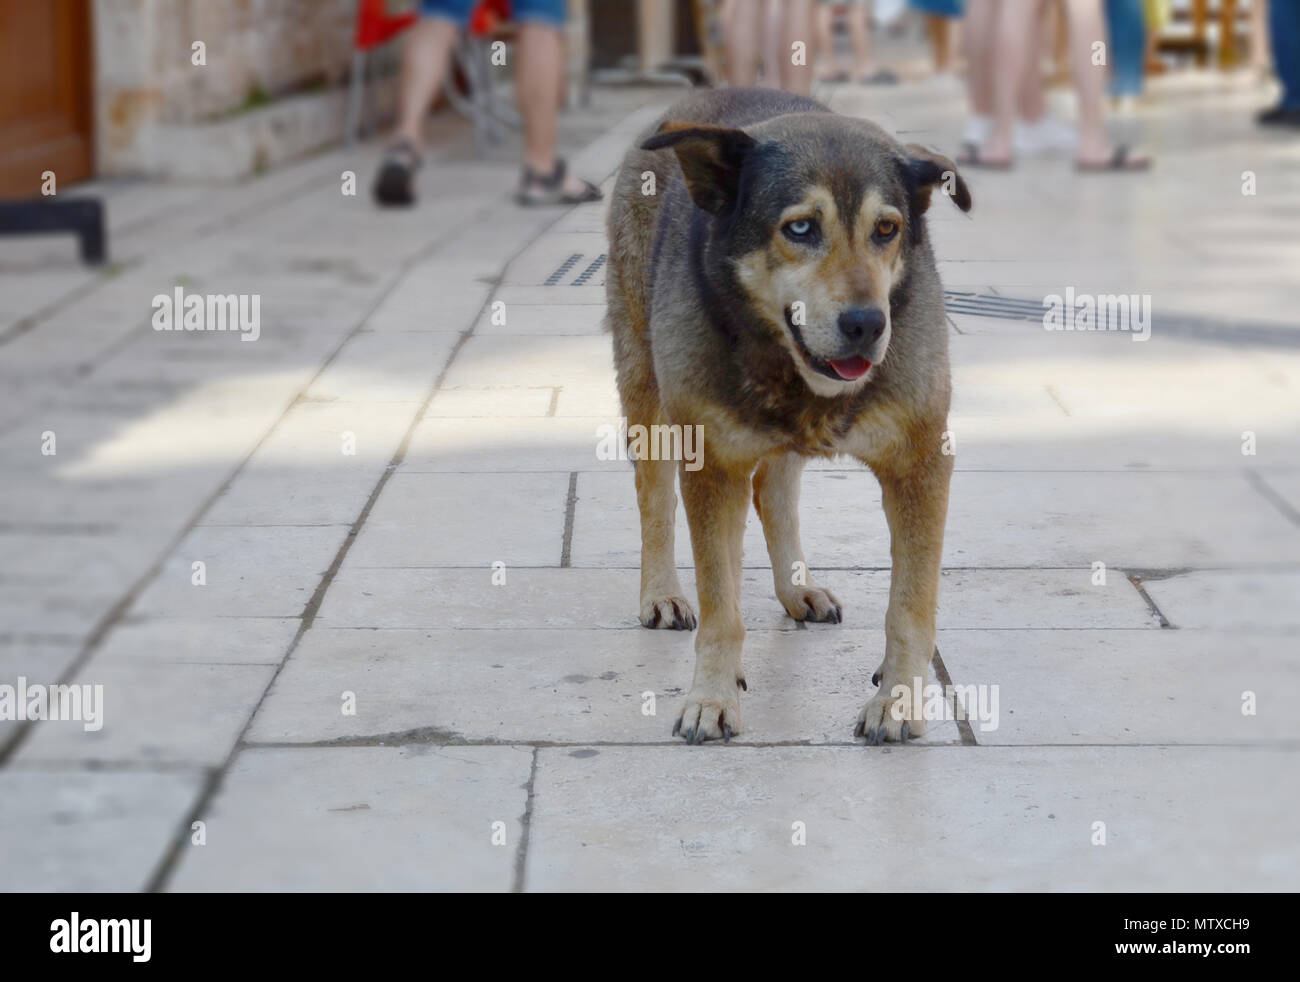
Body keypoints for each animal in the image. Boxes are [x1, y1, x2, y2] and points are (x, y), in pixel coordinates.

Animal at [603, 88, 972, 743]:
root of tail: (699, 96)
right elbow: (720, 606)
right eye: (800, 228)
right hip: (648, 390)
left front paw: (898, 699)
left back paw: (796, 589)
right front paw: (711, 696)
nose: (868, 325)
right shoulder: (712, 465)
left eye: (887, 229)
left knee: (773, 492)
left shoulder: (921, 463)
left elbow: (909, 605)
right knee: (656, 499)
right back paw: (663, 593)